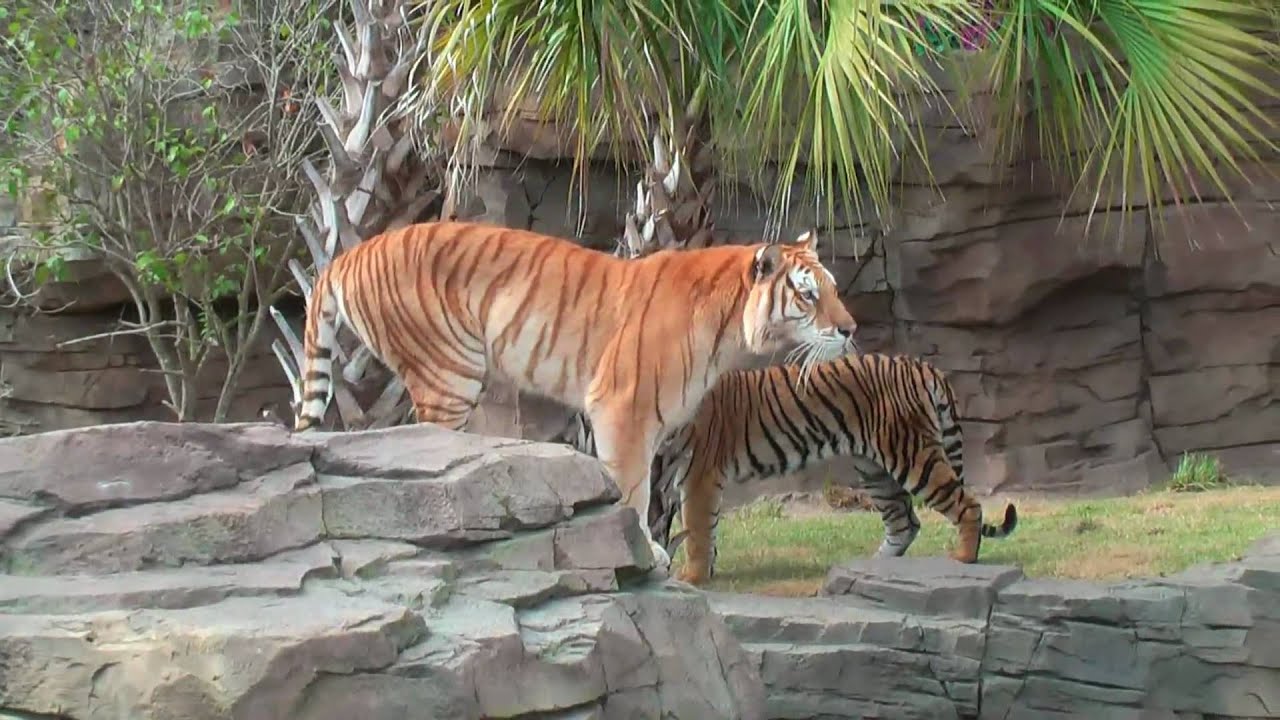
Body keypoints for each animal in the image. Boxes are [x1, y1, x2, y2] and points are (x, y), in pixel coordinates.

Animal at [292, 220, 859, 571]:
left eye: (834, 289)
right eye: (809, 294)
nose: (851, 329)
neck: (732, 331)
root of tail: (346, 254)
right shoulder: (623, 409)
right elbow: (632, 489)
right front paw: (645, 553)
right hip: (449, 373)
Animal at [554, 352, 1019, 585]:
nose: (570, 438)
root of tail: (923, 366)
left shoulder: (698, 475)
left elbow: (698, 530)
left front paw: (693, 576)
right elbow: (675, 528)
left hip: (910, 454)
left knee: (966, 505)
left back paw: (962, 557)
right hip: (874, 467)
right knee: (904, 522)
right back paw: (878, 566)